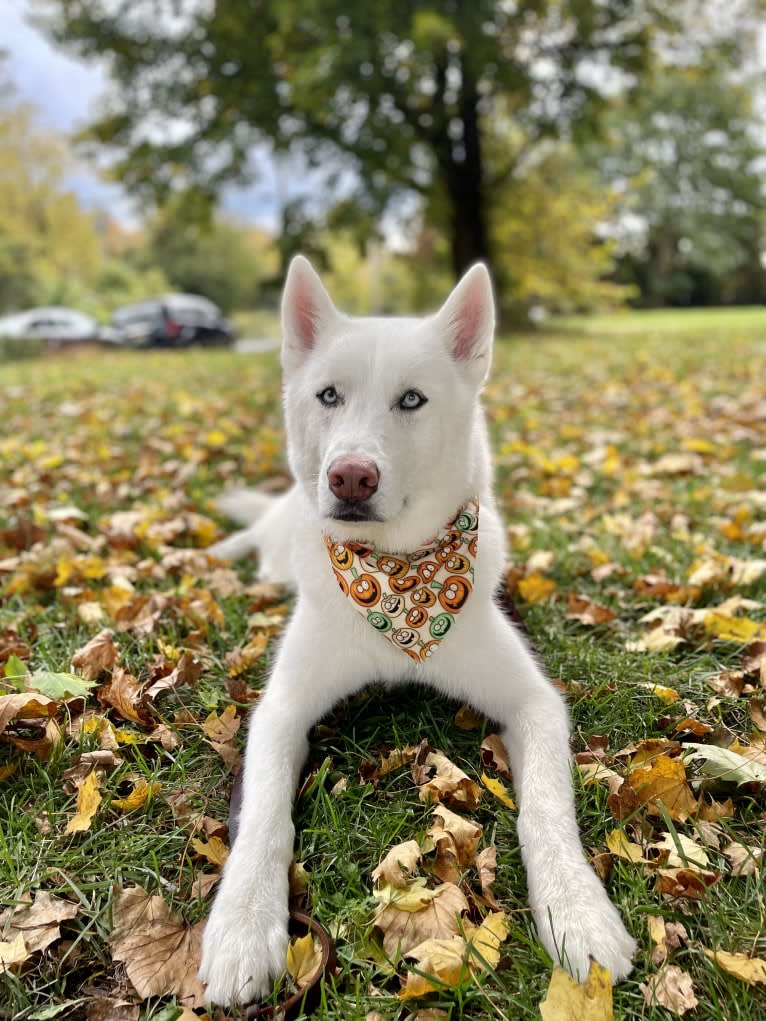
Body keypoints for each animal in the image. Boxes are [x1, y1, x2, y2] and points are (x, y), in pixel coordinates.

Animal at [199, 255, 637, 1004]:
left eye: (411, 400)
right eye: (328, 395)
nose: (350, 476)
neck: (394, 582)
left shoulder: (534, 702)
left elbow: (546, 807)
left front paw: (576, 907)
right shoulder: (280, 710)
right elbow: (262, 815)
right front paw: (242, 924)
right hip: (276, 535)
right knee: (256, 538)